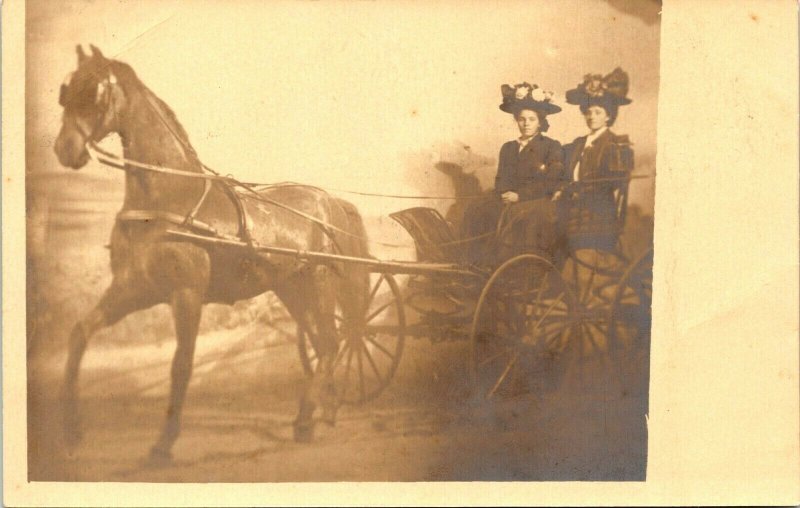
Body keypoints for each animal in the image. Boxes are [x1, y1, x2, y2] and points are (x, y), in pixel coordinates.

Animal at [53, 45, 372, 462]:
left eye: (95, 90)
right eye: (66, 89)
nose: (64, 149)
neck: (166, 198)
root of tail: (330, 202)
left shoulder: (187, 294)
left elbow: (181, 365)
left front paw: (164, 443)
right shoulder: (134, 289)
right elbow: (79, 334)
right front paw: (71, 430)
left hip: (318, 286)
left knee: (332, 343)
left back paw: (308, 419)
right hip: (292, 290)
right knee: (324, 345)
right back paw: (322, 414)